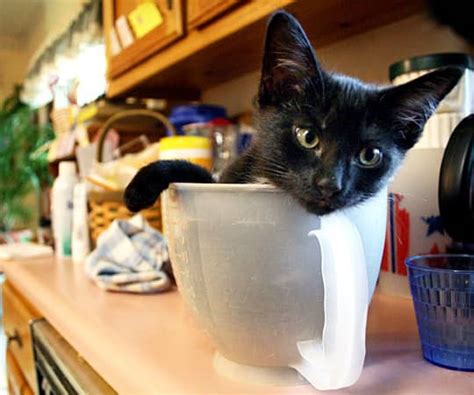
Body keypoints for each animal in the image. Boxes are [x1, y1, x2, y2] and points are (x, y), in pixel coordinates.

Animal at [125, 10, 462, 217]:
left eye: (370, 155)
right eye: (308, 136)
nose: (330, 184)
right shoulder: (224, 180)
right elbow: (196, 173)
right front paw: (139, 188)